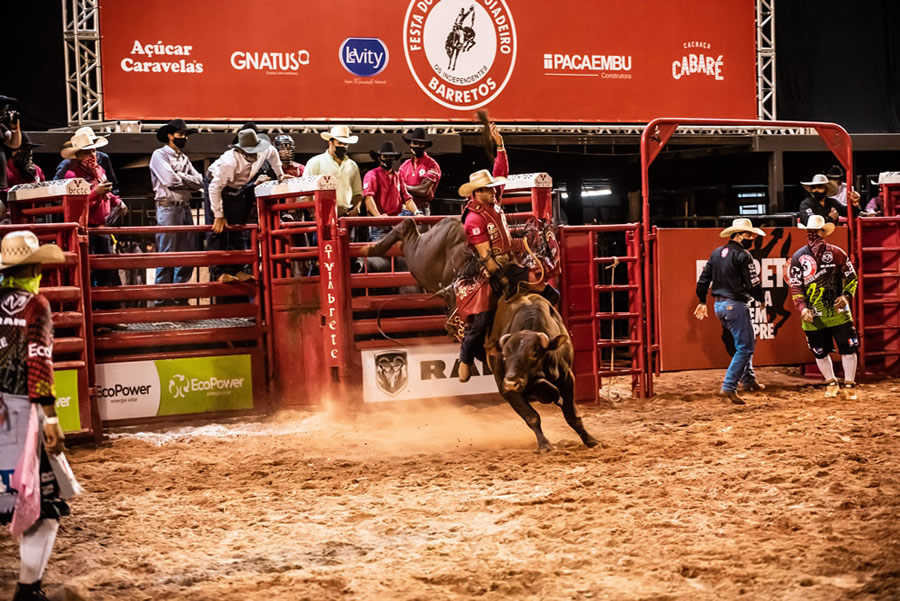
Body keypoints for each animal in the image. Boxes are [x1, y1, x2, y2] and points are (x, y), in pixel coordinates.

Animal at [362, 217, 600, 450]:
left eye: (535, 353)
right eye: (506, 354)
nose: (512, 381)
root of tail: (453, 224)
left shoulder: (567, 377)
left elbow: (571, 414)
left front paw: (591, 440)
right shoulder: (505, 387)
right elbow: (532, 416)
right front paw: (545, 444)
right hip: (423, 258)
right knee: (407, 229)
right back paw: (371, 247)